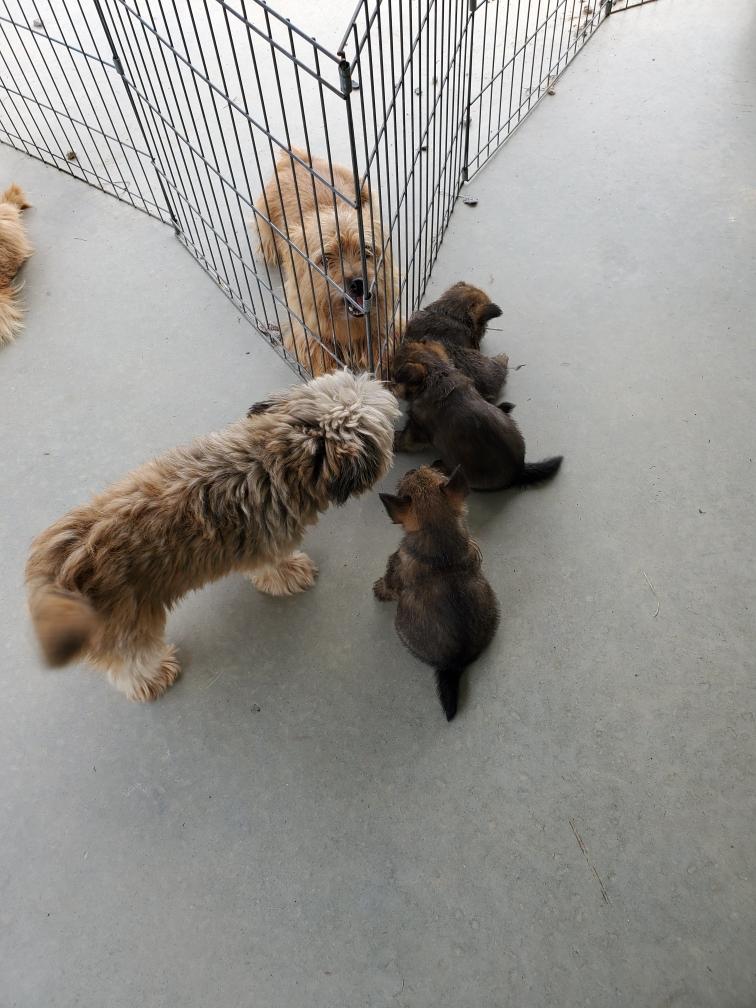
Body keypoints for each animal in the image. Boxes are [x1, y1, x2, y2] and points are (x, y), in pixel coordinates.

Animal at [26, 371, 399, 701]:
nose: (387, 386)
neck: (279, 455)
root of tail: (57, 571)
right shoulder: (269, 546)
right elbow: (274, 569)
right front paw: (292, 573)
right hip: (128, 625)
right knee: (129, 664)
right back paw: (154, 676)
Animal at [254, 147, 399, 377]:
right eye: (325, 259)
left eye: (367, 251)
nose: (359, 283)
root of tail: (299, 159)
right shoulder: (308, 333)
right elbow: (324, 359)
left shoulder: (386, 323)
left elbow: (384, 346)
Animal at [375, 465, 499, 720]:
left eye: (405, 484)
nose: (412, 468)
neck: (438, 533)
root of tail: (454, 664)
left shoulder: (394, 564)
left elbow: (389, 582)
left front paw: (379, 589)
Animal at [393, 340, 562, 490]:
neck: (437, 376)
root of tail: (519, 471)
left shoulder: (417, 428)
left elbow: (406, 438)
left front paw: (394, 441)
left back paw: (440, 465)